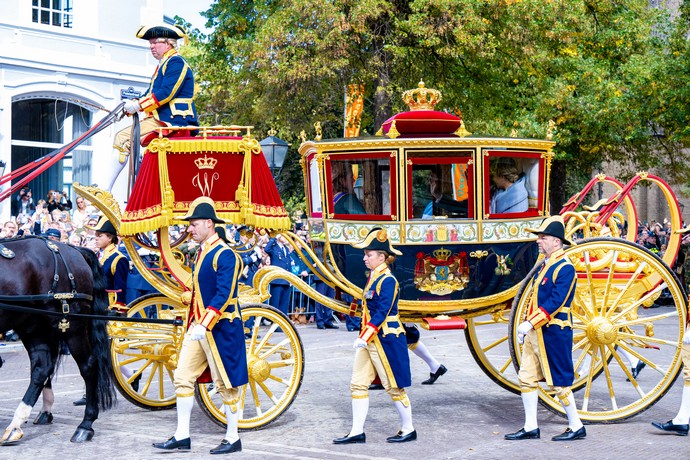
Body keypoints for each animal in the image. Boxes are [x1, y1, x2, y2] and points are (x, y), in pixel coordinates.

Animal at [0, 235, 114, 444]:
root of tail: (73, 249)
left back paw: (85, 425)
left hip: (72, 325)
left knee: (88, 366)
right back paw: (17, 424)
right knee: (42, 367)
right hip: (33, 325)